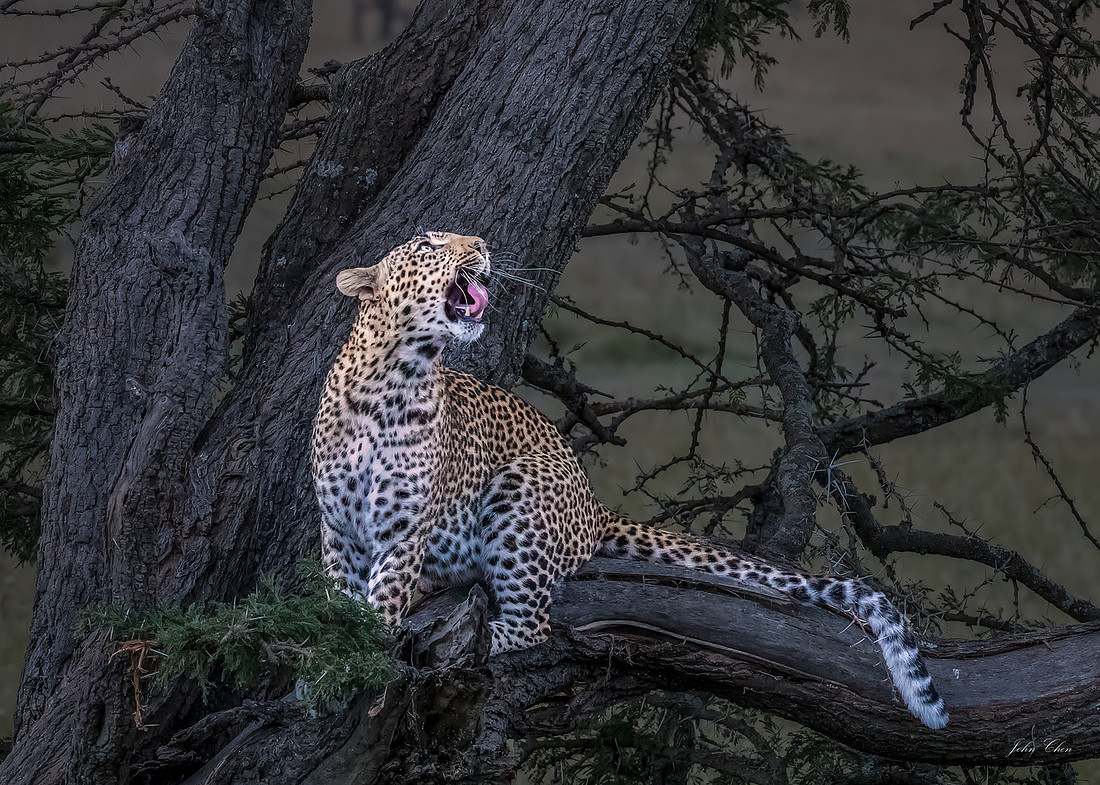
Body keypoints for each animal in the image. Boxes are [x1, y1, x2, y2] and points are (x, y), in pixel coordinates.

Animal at [311, 231, 949, 729]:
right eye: (428, 245)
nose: (483, 246)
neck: (394, 381)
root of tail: (595, 505)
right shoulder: (338, 530)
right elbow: (340, 600)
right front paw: (331, 667)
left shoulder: (403, 531)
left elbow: (381, 605)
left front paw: (368, 670)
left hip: (522, 485)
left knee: (532, 625)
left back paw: (475, 644)